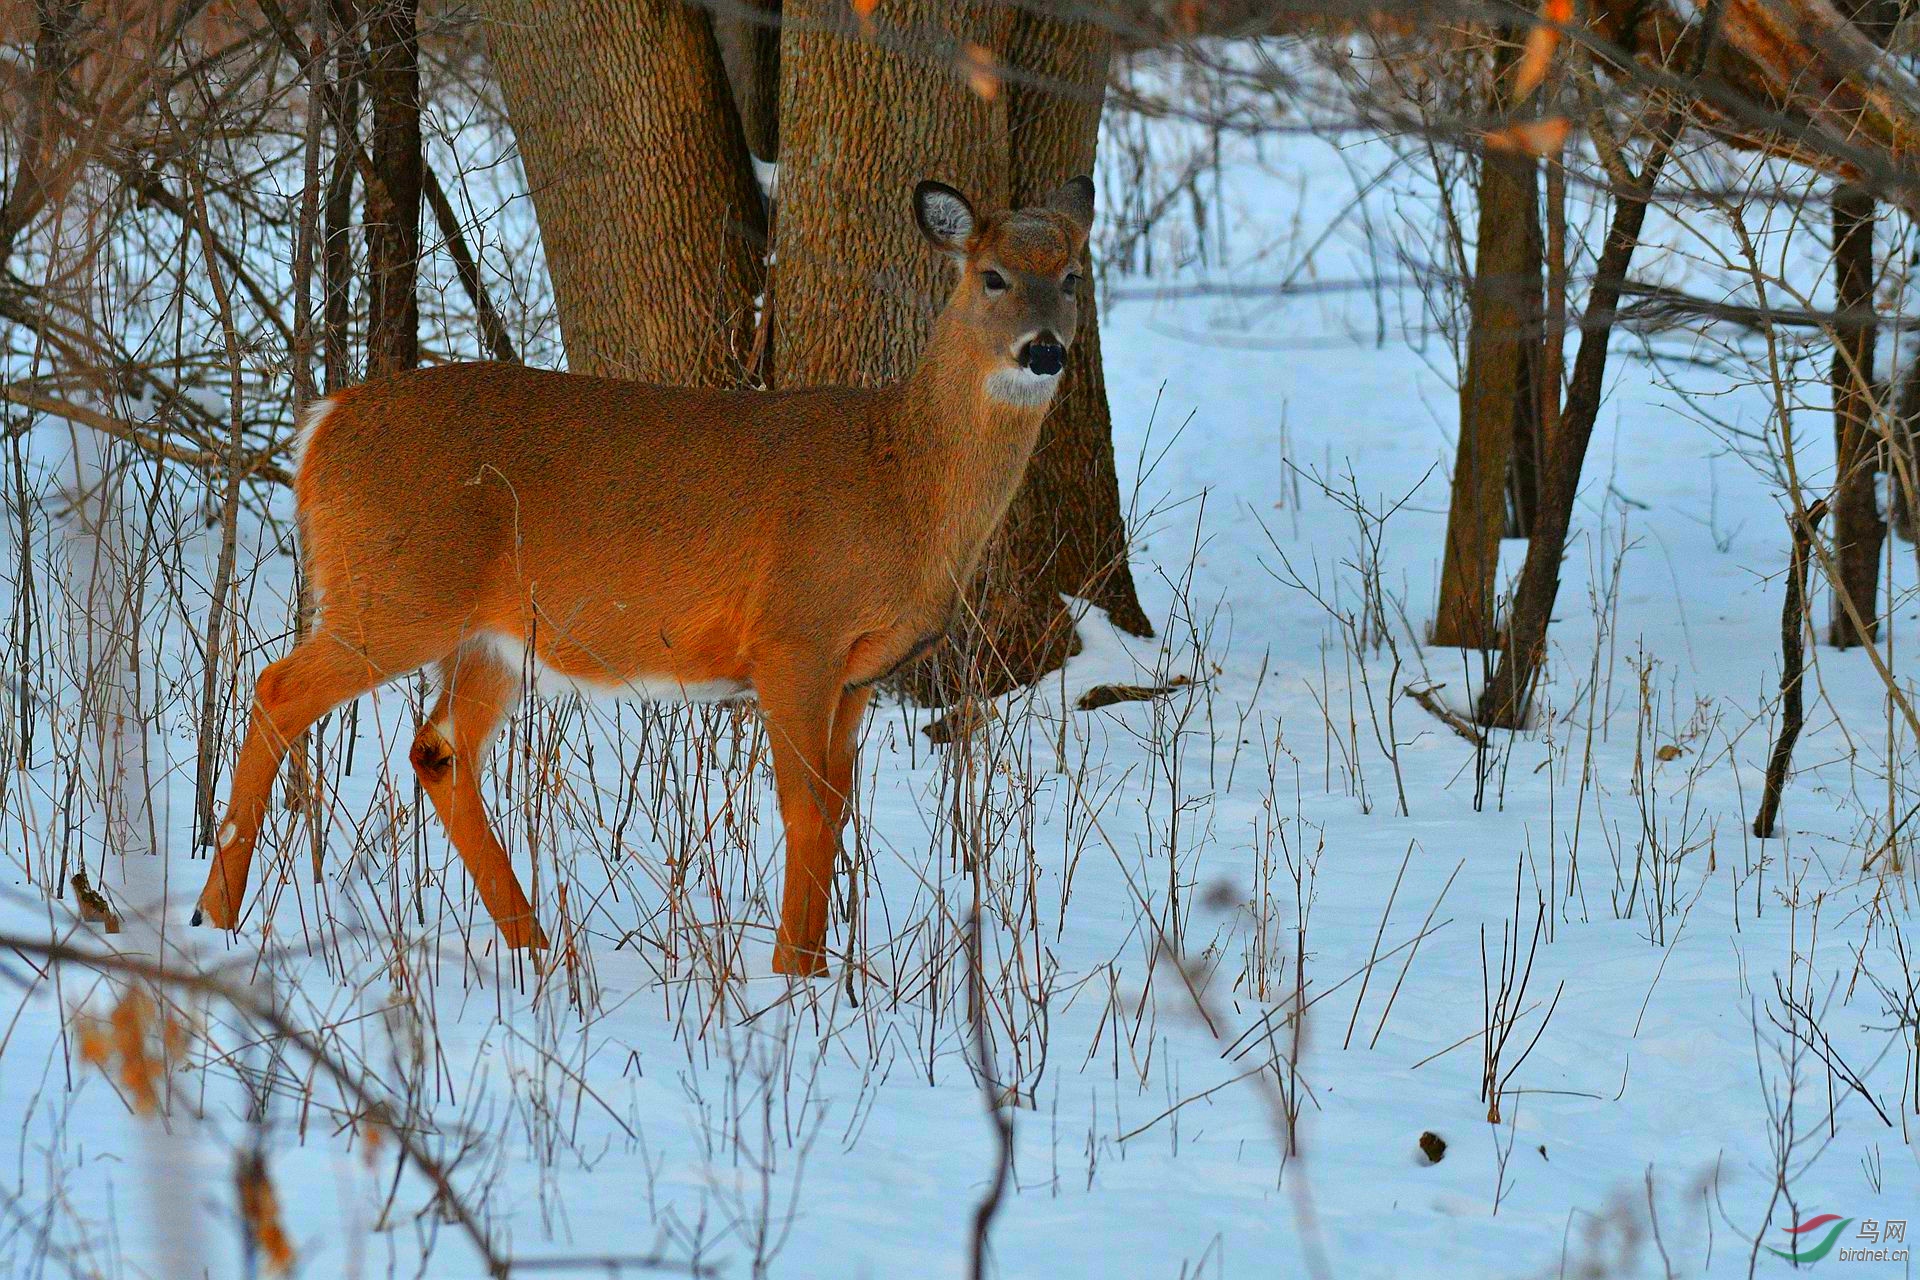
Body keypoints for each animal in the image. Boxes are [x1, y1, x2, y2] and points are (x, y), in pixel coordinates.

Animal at [194, 169, 1105, 971]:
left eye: (1071, 276)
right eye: (992, 276)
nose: (1045, 352)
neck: (902, 478)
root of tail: (322, 424)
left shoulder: (861, 672)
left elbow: (836, 813)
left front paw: (815, 971)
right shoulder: (794, 637)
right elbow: (806, 813)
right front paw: (794, 982)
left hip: (490, 636)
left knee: (438, 749)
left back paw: (534, 948)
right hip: (396, 593)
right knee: (278, 688)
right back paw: (218, 916)